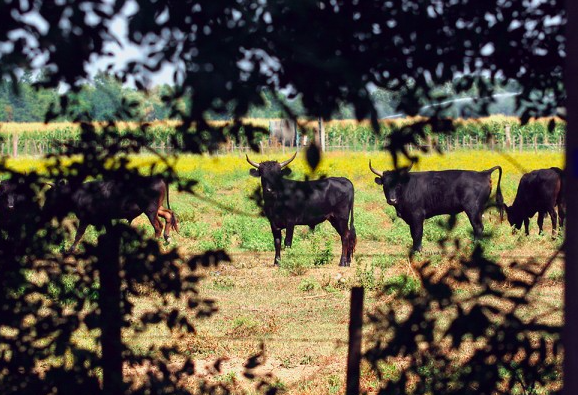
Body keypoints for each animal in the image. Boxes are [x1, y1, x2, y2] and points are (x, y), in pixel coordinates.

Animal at [44, 177, 178, 254]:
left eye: (49, 195)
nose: (44, 208)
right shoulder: (106, 219)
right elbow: (110, 233)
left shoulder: (85, 219)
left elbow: (78, 234)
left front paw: (70, 250)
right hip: (157, 208)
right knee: (168, 215)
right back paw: (167, 238)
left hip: (150, 210)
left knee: (158, 226)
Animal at [368, 162, 500, 252]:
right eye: (385, 185)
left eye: (399, 184)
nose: (392, 200)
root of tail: (483, 173)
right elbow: (413, 234)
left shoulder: (417, 215)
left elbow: (417, 233)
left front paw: (418, 251)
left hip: (473, 209)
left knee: (478, 227)